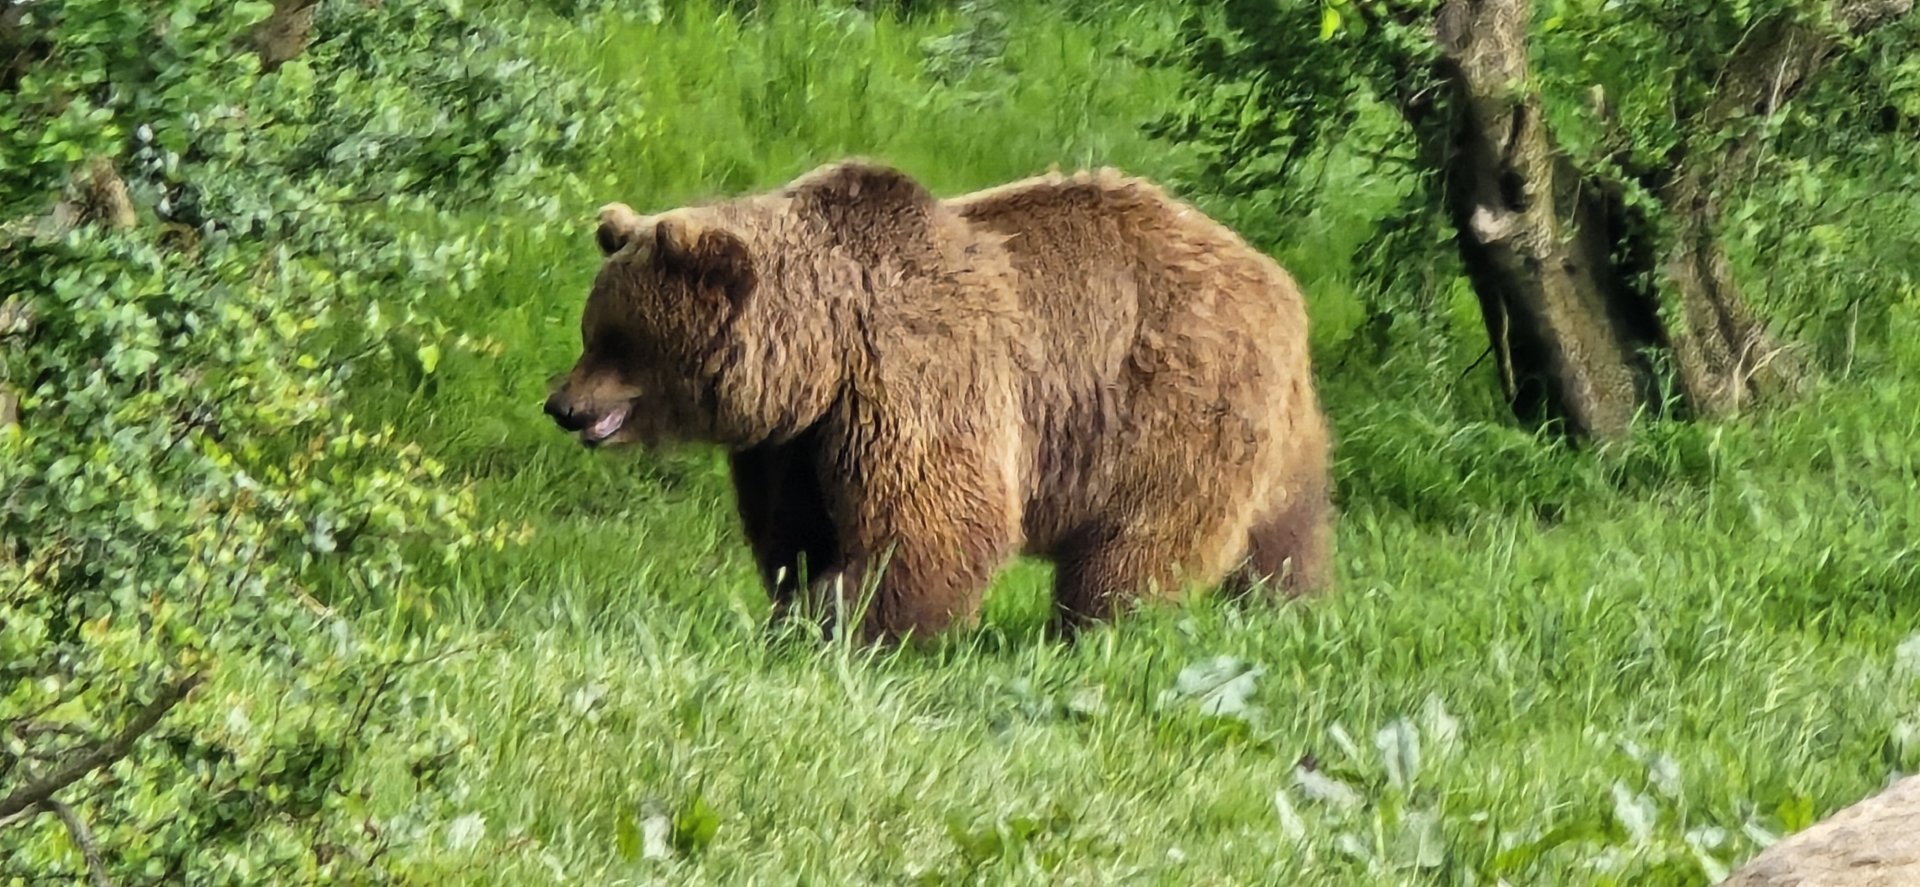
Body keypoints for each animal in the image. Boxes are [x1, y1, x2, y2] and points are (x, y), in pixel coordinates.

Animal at [543, 158, 1333, 644]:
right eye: (593, 330)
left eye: (618, 340)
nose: (563, 405)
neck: (820, 352)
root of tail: (1280, 283)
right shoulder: (795, 441)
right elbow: (795, 531)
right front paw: (797, 602)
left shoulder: (916, 375)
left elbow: (932, 522)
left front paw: (836, 620)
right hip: (1275, 433)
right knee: (1285, 533)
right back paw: (1288, 609)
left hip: (1171, 411)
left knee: (1139, 545)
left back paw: (1092, 628)